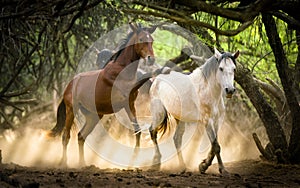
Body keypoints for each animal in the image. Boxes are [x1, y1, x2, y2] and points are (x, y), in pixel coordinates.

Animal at [47, 23, 157, 166]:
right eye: (141, 39)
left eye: (152, 40)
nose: (151, 59)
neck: (122, 71)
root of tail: (69, 86)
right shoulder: (124, 102)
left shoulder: (130, 104)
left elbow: (136, 130)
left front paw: (134, 159)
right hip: (72, 110)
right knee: (66, 136)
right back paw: (63, 163)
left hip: (94, 116)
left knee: (81, 136)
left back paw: (83, 164)